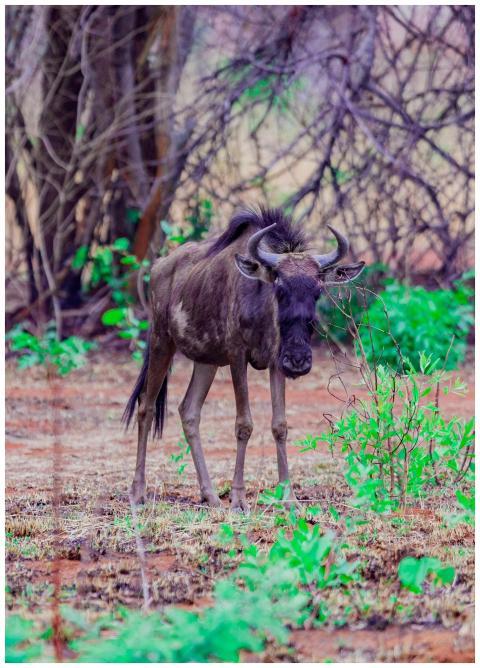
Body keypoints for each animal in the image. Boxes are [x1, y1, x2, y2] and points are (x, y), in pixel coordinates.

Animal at [124, 207, 364, 510]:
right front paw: (238, 498)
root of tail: (158, 266)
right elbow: (244, 424)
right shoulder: (237, 358)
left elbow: (280, 425)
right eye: (280, 288)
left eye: (317, 291)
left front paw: (289, 497)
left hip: (207, 362)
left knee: (189, 411)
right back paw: (138, 493)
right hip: (161, 342)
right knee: (146, 406)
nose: (299, 360)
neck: (260, 303)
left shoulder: (275, 362)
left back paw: (211, 495)